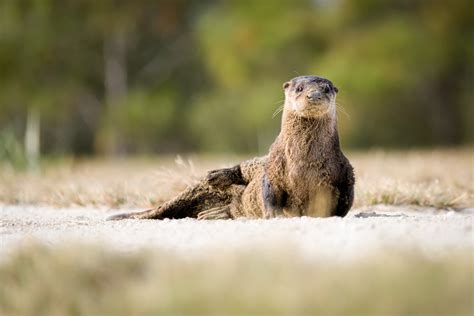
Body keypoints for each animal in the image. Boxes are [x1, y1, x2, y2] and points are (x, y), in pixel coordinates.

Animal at [110, 76, 352, 220]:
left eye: (326, 89)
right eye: (299, 88)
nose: (314, 95)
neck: (302, 162)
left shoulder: (344, 173)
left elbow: (345, 201)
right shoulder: (273, 169)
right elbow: (270, 194)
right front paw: (274, 215)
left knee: (234, 208)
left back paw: (214, 213)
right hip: (255, 163)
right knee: (242, 168)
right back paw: (216, 176)